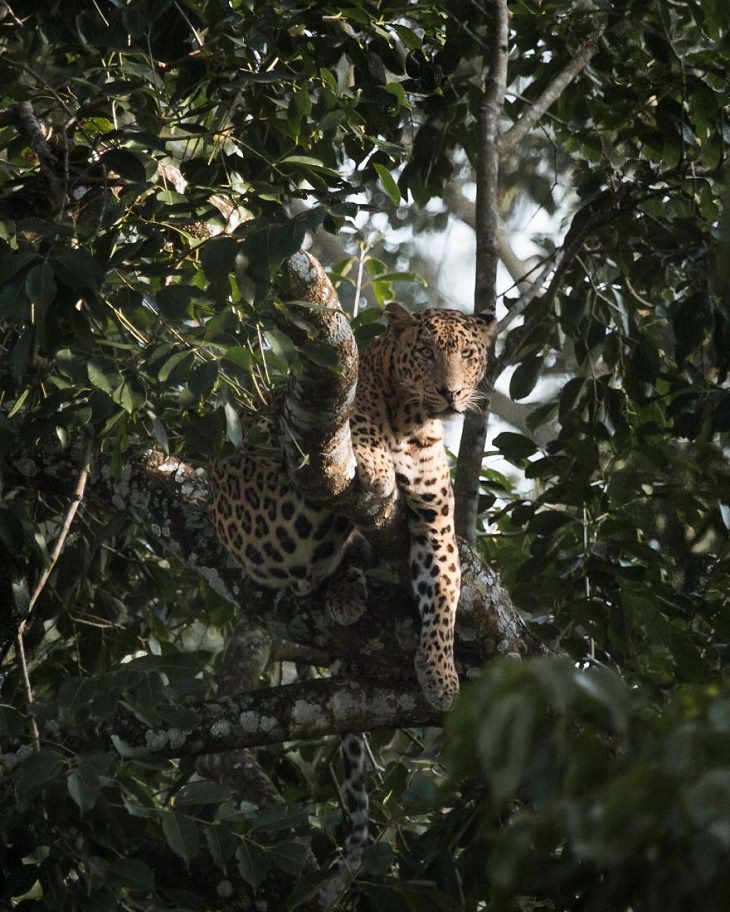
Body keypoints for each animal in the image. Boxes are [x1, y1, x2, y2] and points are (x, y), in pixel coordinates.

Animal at [209, 300, 494, 892]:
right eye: (426, 352)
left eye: (467, 355)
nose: (451, 393)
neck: (414, 422)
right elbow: (360, 438)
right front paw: (379, 462)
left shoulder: (435, 519)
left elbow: (444, 595)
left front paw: (440, 676)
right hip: (275, 509)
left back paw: (348, 590)